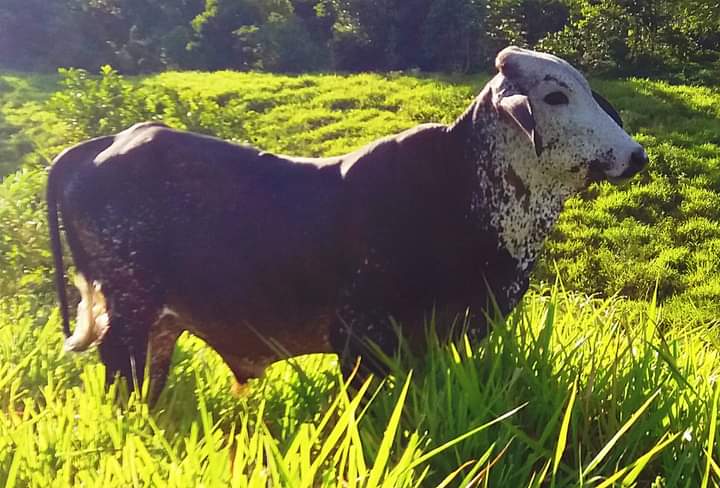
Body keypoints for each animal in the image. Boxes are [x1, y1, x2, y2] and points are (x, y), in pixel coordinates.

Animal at [47, 47, 647, 400]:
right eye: (556, 95)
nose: (636, 154)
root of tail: (106, 143)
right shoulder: (362, 337)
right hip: (130, 306)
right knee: (118, 363)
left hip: (158, 320)